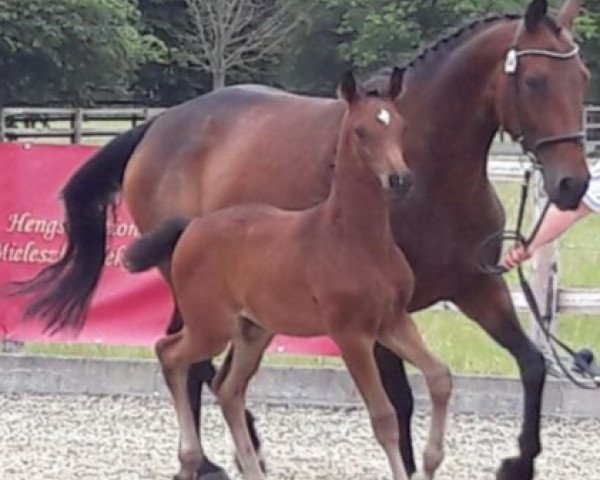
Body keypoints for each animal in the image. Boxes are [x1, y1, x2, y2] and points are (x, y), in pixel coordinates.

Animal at [125, 68, 450, 480]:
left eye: (401, 126)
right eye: (361, 131)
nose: (400, 179)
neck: (353, 237)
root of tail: (191, 227)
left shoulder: (393, 322)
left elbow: (440, 377)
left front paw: (431, 460)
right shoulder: (351, 334)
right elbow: (384, 417)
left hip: (253, 331)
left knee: (228, 388)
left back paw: (249, 468)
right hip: (211, 326)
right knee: (170, 354)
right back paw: (190, 460)